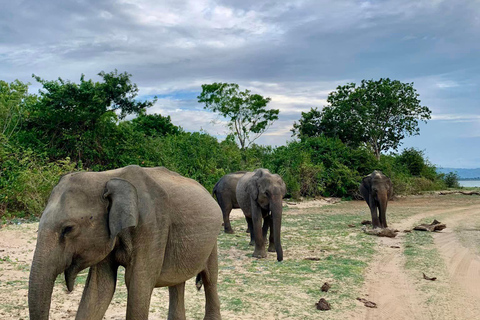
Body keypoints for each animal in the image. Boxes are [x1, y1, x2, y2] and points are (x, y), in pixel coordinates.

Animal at [29, 165, 224, 320]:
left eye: (68, 228)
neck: (107, 177)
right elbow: (99, 289)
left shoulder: (152, 226)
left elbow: (137, 285)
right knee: (177, 282)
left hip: (213, 241)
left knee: (210, 278)